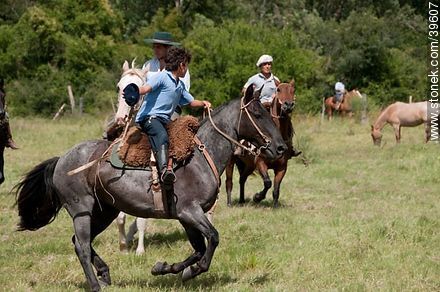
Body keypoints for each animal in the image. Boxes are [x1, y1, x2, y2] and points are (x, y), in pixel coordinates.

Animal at [14, 85, 286, 292]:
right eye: (257, 114)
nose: (281, 148)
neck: (200, 154)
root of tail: (61, 159)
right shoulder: (190, 212)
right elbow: (212, 240)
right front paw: (192, 272)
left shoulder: (186, 217)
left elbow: (198, 248)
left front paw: (166, 268)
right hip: (82, 210)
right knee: (81, 245)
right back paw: (95, 285)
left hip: (104, 211)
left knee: (80, 241)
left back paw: (104, 272)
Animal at [227, 78, 296, 209]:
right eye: (278, 89)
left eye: (293, 90)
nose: (288, 105)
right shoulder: (260, 162)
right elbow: (268, 182)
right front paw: (257, 197)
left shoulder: (282, 167)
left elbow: (276, 189)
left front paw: (275, 206)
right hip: (231, 161)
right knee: (229, 181)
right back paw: (229, 203)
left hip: (248, 165)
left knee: (242, 179)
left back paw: (242, 200)